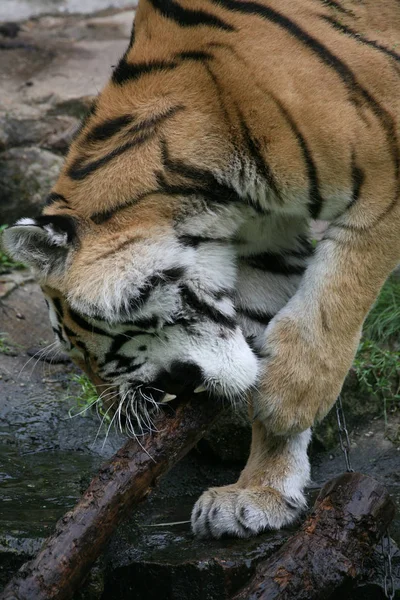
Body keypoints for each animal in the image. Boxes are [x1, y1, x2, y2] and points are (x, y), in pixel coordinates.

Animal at [3, 0, 400, 540]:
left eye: (78, 342)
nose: (118, 418)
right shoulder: (266, 243)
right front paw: (259, 491)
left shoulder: (385, 184)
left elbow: (336, 292)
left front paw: (292, 399)